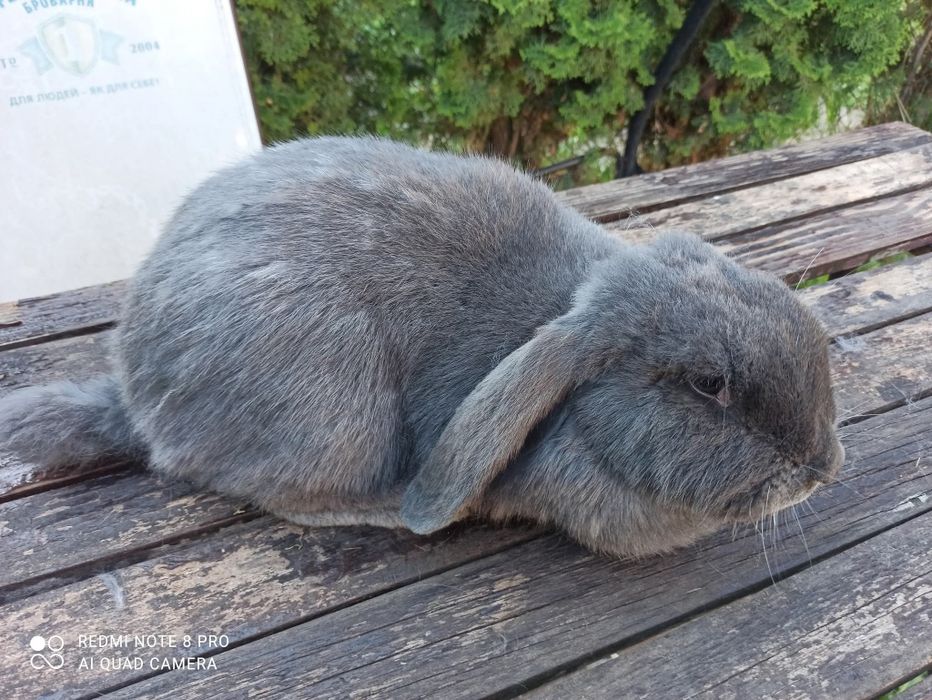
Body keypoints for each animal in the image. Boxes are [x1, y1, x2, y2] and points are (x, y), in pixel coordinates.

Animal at [0, 136, 844, 557]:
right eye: (708, 385)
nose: (822, 467)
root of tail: (138, 398)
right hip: (337, 408)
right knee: (283, 495)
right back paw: (382, 508)